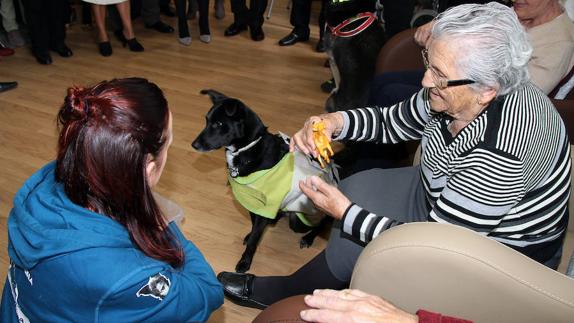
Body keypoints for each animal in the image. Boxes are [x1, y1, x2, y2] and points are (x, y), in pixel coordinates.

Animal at [194, 89, 338, 274]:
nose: (194, 144)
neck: (248, 149)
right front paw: (250, 235)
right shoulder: (254, 202)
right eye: (206, 120)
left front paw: (245, 261)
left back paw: (309, 237)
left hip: (300, 219)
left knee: (323, 223)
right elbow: (254, 227)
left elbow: (254, 239)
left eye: (219, 124)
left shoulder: (266, 205)